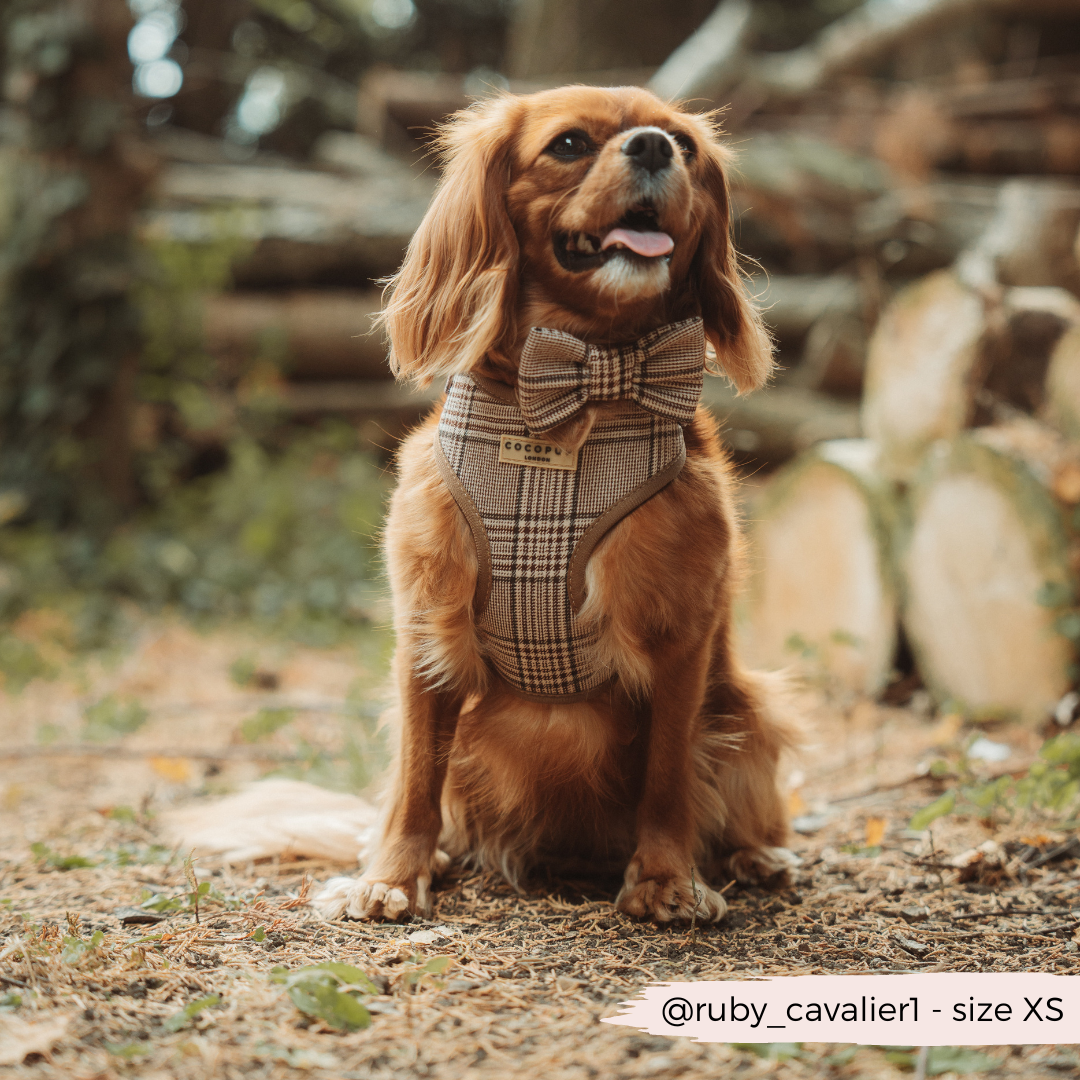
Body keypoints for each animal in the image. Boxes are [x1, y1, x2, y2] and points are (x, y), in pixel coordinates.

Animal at [315, 86, 799, 928]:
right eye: (570, 144)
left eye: (684, 145)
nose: (654, 148)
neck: (587, 379)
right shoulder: (427, 628)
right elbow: (415, 778)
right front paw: (393, 875)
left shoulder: (681, 641)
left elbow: (668, 777)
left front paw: (665, 880)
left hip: (749, 709)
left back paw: (755, 856)